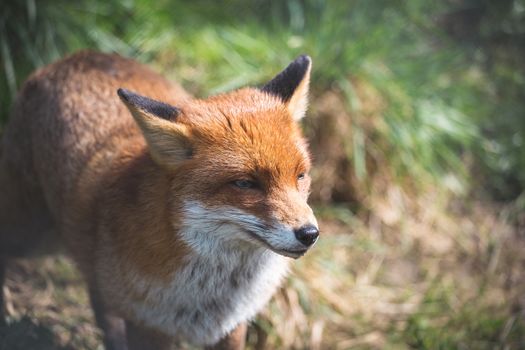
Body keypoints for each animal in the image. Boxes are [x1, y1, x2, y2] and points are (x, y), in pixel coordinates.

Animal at [0, 52, 318, 350]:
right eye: (245, 183)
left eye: (300, 176)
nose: (310, 234)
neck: (210, 296)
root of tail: (79, 56)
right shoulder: (147, 326)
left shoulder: (230, 328)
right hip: (30, 234)